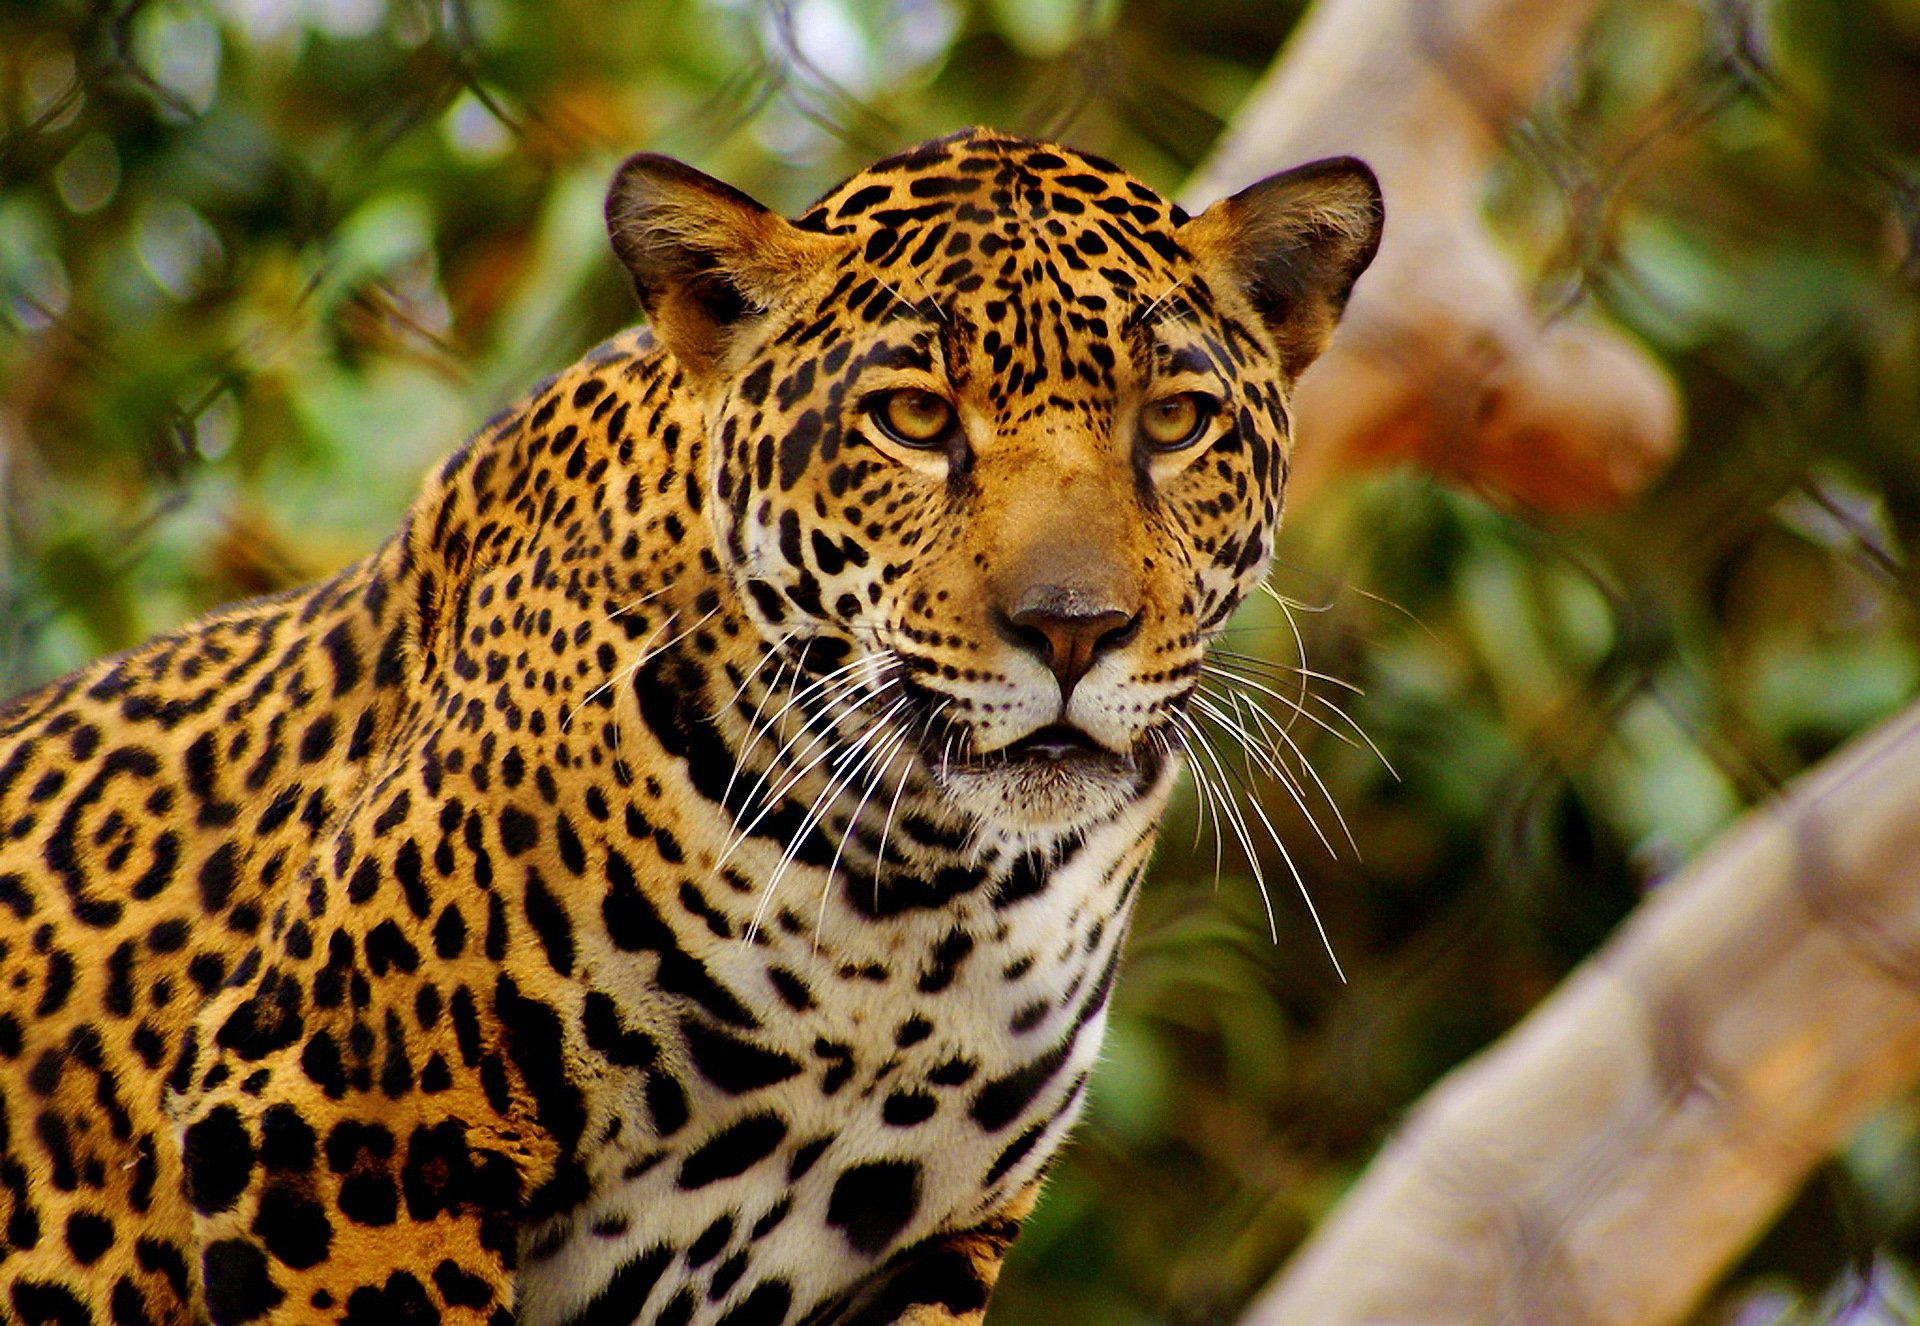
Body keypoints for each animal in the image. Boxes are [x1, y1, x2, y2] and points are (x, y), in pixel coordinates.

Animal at [0, 128, 1380, 1325]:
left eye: (1175, 422)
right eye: (917, 420)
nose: (1075, 630)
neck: (922, 897)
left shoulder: (934, 1243)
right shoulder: (337, 1114)